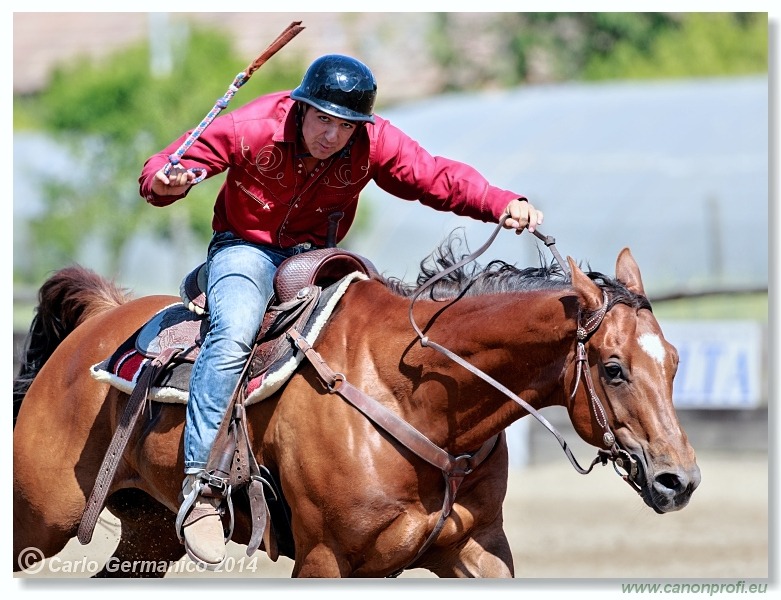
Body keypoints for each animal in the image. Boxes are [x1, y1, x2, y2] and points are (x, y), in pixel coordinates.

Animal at [12, 230, 696, 576]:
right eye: (613, 368)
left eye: (674, 361)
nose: (679, 480)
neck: (416, 395)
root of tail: (99, 320)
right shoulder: (325, 558)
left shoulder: (477, 548)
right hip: (41, 514)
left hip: (148, 534)